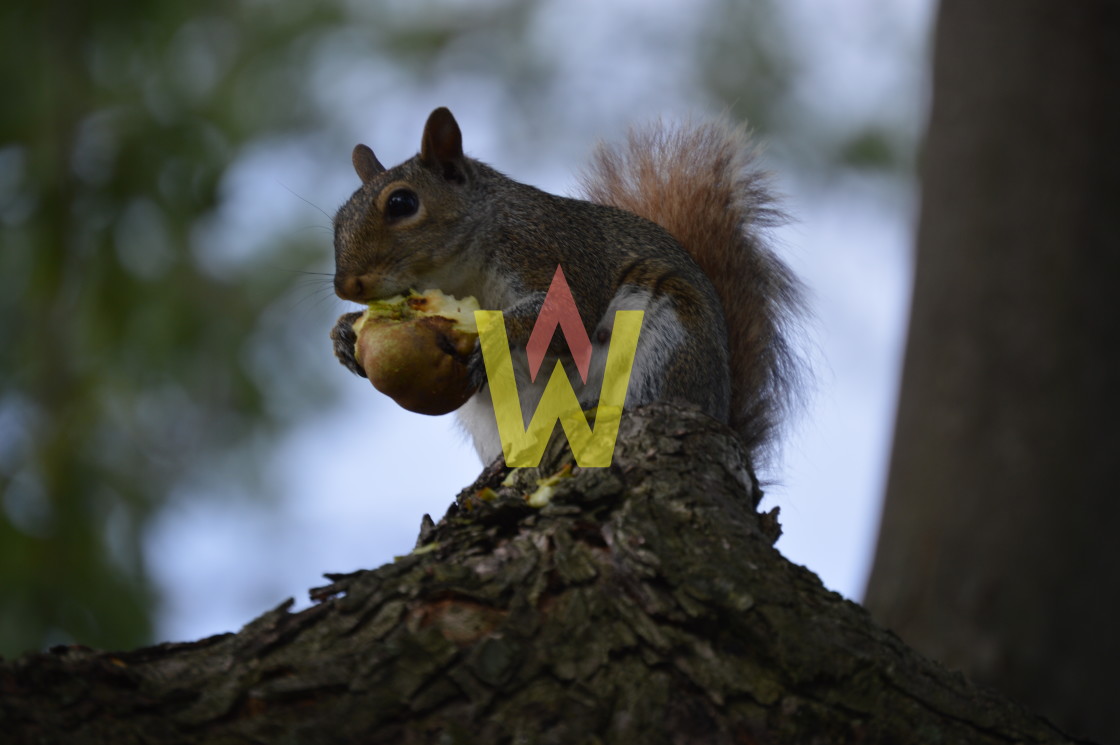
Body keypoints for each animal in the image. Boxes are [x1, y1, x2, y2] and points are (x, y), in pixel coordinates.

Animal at [329, 105, 806, 470]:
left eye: (402, 203)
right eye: (338, 218)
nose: (345, 286)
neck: (459, 274)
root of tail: (719, 411)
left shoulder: (551, 250)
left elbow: (562, 313)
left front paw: (491, 339)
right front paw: (344, 333)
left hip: (668, 344)